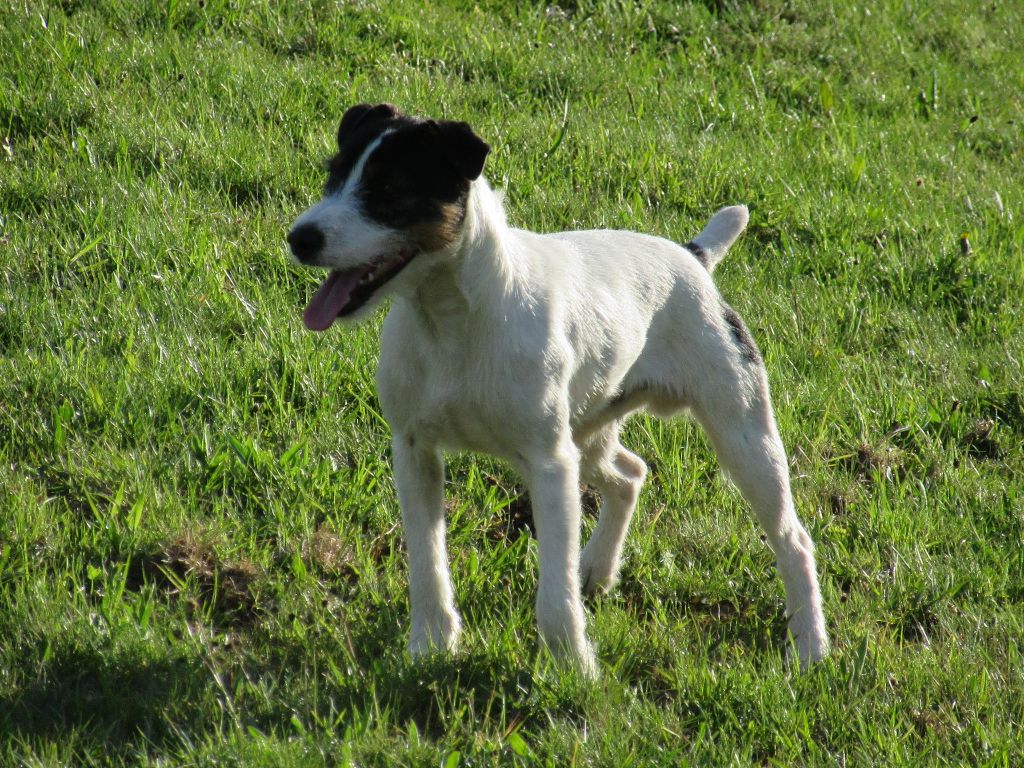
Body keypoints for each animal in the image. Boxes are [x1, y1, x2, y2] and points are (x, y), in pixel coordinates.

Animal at [287, 103, 829, 676]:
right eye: (334, 174)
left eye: (388, 188)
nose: (299, 238)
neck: (454, 320)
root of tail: (694, 256)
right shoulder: (415, 453)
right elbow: (427, 563)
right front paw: (431, 644)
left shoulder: (549, 464)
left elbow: (554, 588)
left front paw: (573, 667)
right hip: (588, 432)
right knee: (630, 475)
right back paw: (598, 569)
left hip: (741, 431)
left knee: (793, 538)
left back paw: (810, 644)